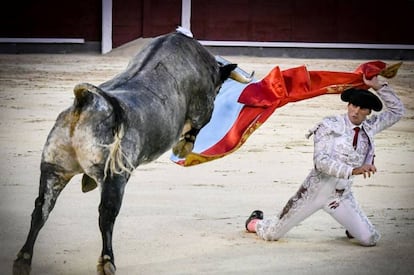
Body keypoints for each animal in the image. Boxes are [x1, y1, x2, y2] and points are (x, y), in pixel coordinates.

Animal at [11, 29, 249, 274]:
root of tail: (85, 101)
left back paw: (23, 260)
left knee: (41, 209)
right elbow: (196, 128)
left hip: (53, 168)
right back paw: (107, 262)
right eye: (218, 88)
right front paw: (183, 148)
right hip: (113, 177)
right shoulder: (203, 108)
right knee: (106, 214)